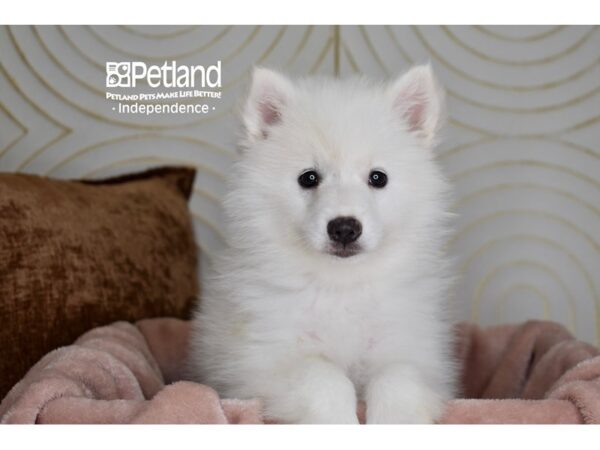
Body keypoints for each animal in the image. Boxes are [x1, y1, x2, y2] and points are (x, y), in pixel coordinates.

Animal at [190, 65, 458, 424]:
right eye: (309, 178)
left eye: (378, 178)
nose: (344, 228)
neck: (340, 285)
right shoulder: (260, 362)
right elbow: (322, 375)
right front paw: (337, 420)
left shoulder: (416, 350)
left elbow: (399, 376)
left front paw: (394, 419)